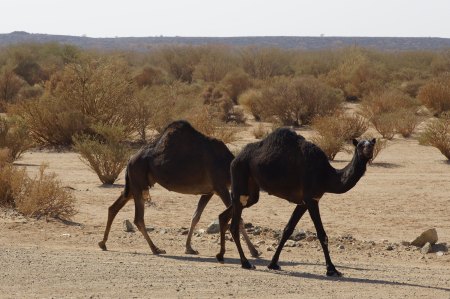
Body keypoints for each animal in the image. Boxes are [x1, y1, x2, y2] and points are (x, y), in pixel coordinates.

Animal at [100, 120, 258, 258]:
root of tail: (130, 159)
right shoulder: (220, 187)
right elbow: (239, 219)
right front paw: (254, 251)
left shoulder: (209, 191)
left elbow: (195, 217)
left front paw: (189, 248)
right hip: (138, 181)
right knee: (138, 218)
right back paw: (155, 249)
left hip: (134, 185)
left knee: (114, 207)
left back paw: (103, 243)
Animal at [216, 127, 374, 278]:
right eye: (360, 145)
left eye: (372, 144)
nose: (368, 151)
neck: (326, 175)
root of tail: (236, 158)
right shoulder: (311, 199)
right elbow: (321, 234)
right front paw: (332, 269)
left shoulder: (303, 202)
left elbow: (288, 229)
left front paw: (273, 263)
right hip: (240, 176)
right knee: (234, 223)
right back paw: (245, 263)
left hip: (252, 191)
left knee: (226, 214)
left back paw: (221, 256)